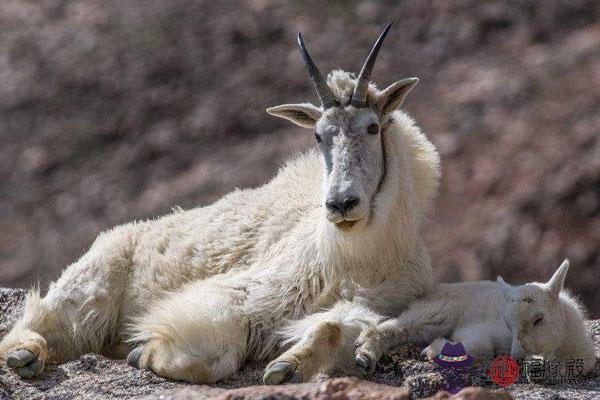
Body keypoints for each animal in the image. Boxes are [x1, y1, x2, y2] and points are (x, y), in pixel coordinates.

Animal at [0, 22, 440, 384]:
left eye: (373, 127)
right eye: (318, 135)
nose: (341, 204)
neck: (363, 253)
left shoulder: (374, 303)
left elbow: (334, 327)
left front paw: (287, 367)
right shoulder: (250, 292)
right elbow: (214, 353)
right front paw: (145, 352)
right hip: (93, 283)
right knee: (47, 319)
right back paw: (26, 355)